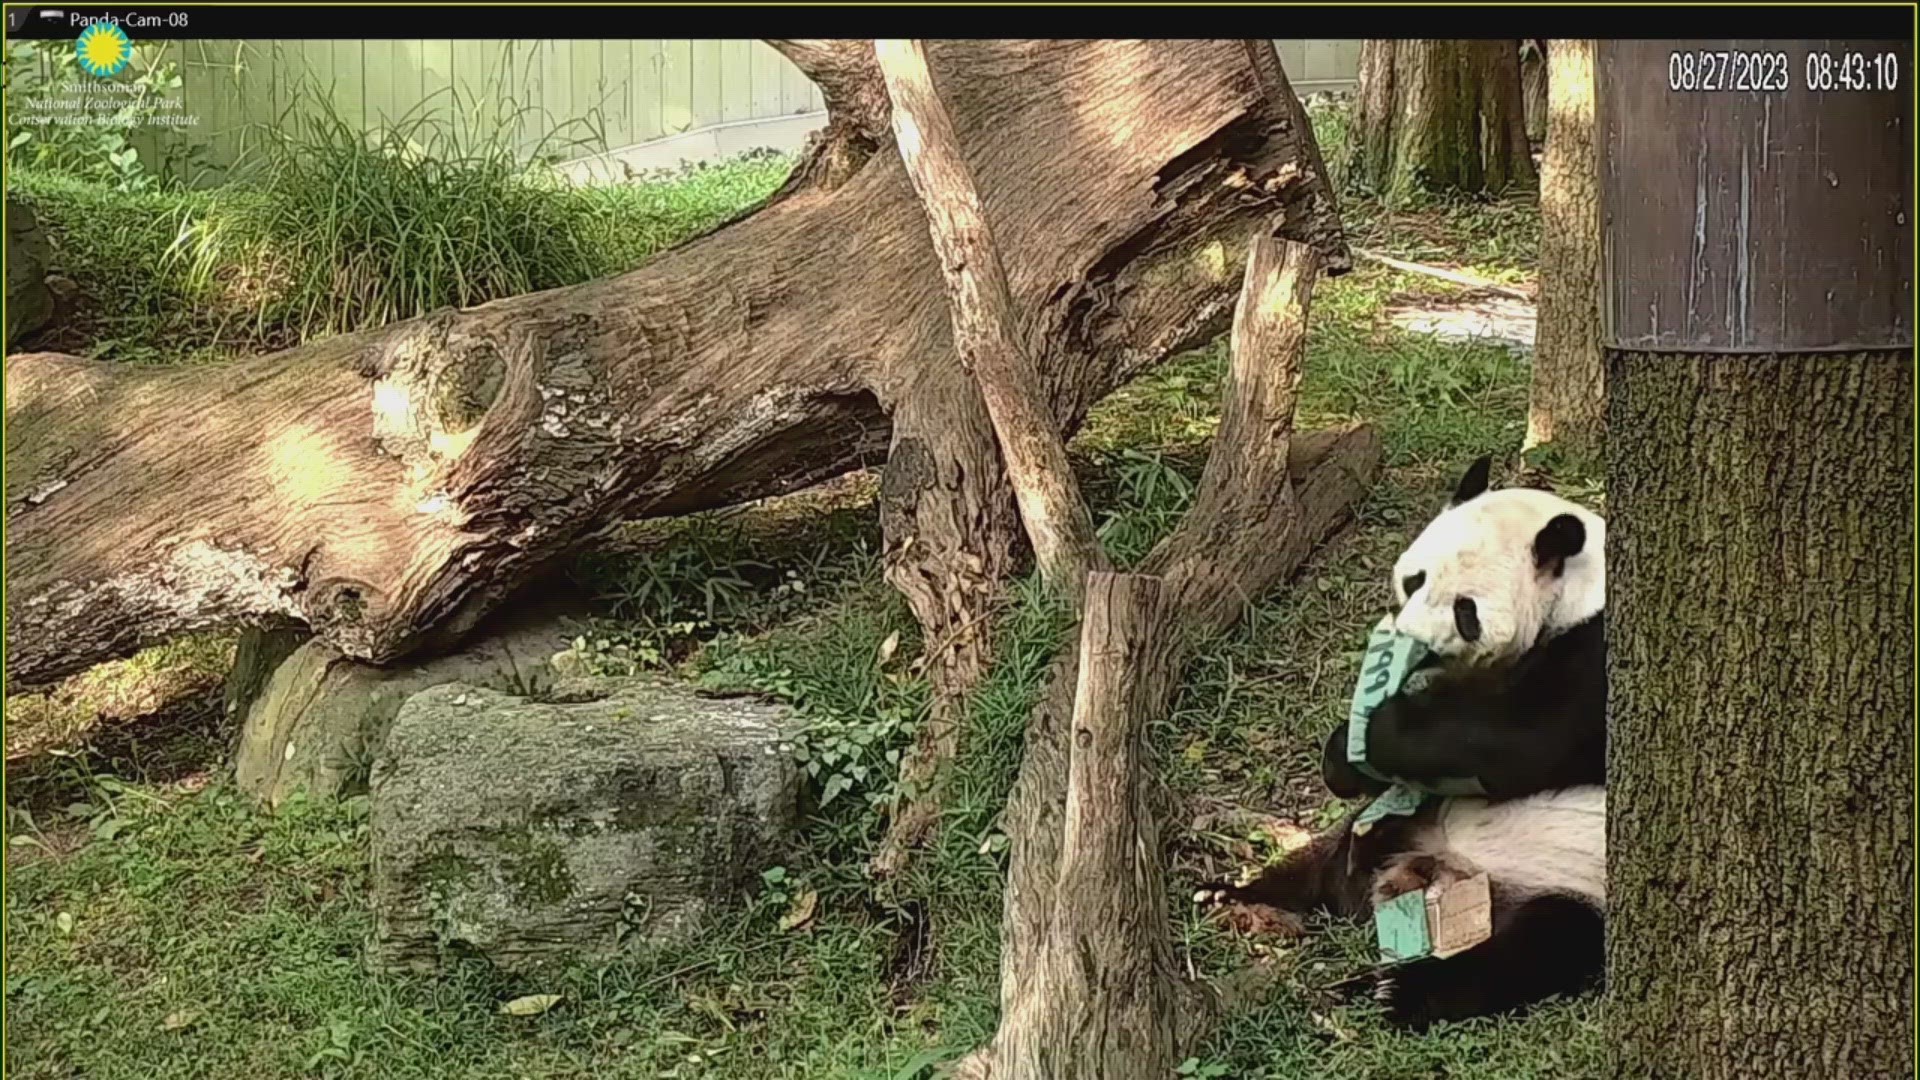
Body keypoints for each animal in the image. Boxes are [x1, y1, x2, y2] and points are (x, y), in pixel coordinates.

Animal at [1205, 453, 1612, 1022]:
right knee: (1336, 857)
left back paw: (1391, 990)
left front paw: (1371, 734)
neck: (1576, 592)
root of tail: (1444, 870)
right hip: (1414, 821)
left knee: (1538, 948)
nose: (1411, 639)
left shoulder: (1598, 654)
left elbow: (1522, 741)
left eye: (1466, 609)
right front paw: (1344, 755)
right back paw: (1239, 899)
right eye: (1415, 579)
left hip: (1581, 882)